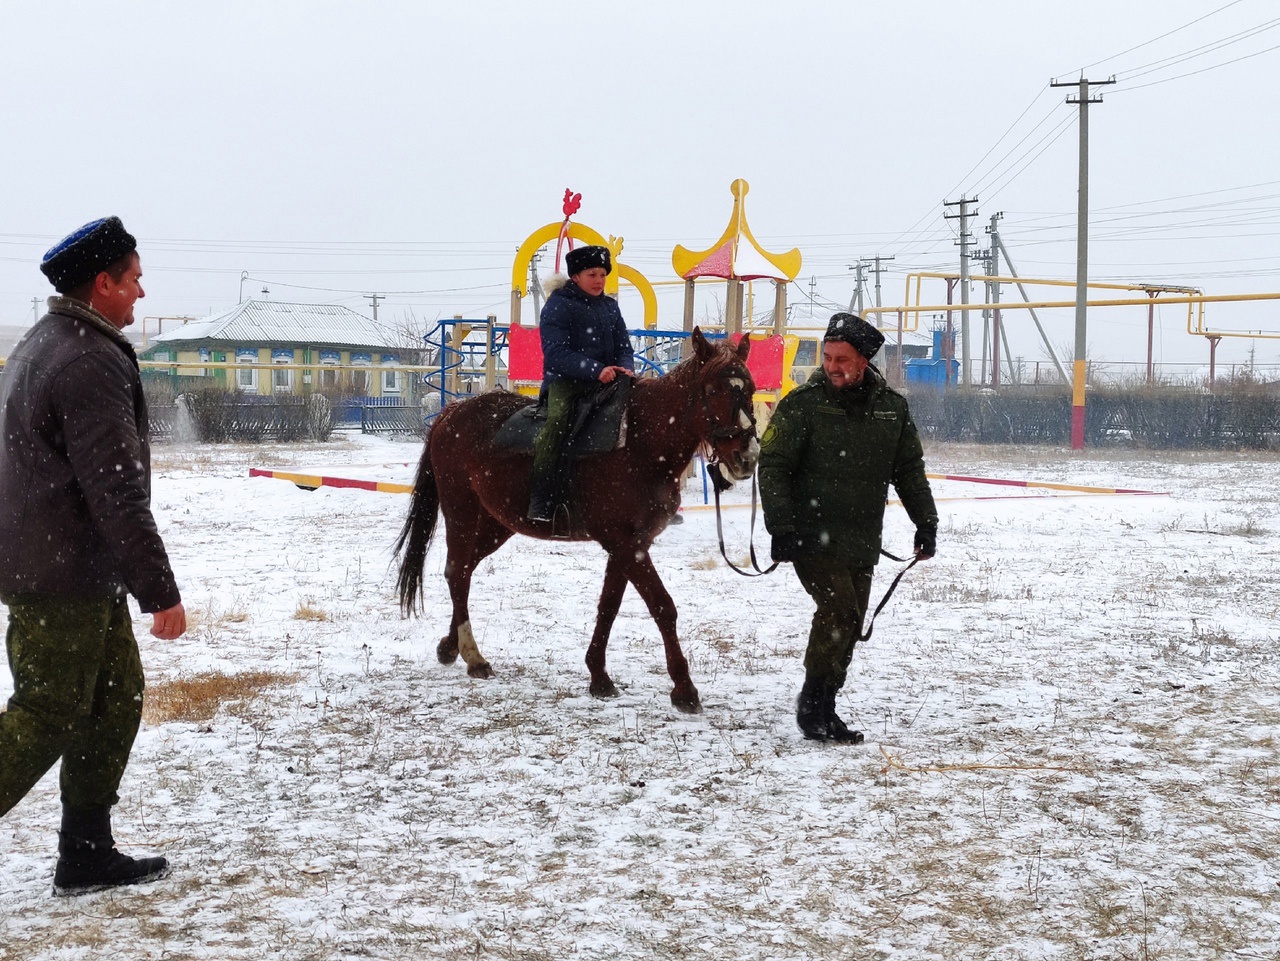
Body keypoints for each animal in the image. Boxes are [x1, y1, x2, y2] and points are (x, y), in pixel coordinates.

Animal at [396, 330, 757, 716]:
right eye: (714, 390)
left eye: (749, 389)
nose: (747, 457)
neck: (641, 441)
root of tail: (450, 414)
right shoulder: (626, 544)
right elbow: (663, 606)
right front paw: (684, 689)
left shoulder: (630, 545)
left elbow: (608, 606)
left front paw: (598, 675)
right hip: (461, 513)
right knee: (458, 572)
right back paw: (474, 656)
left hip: (497, 524)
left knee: (463, 570)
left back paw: (450, 647)